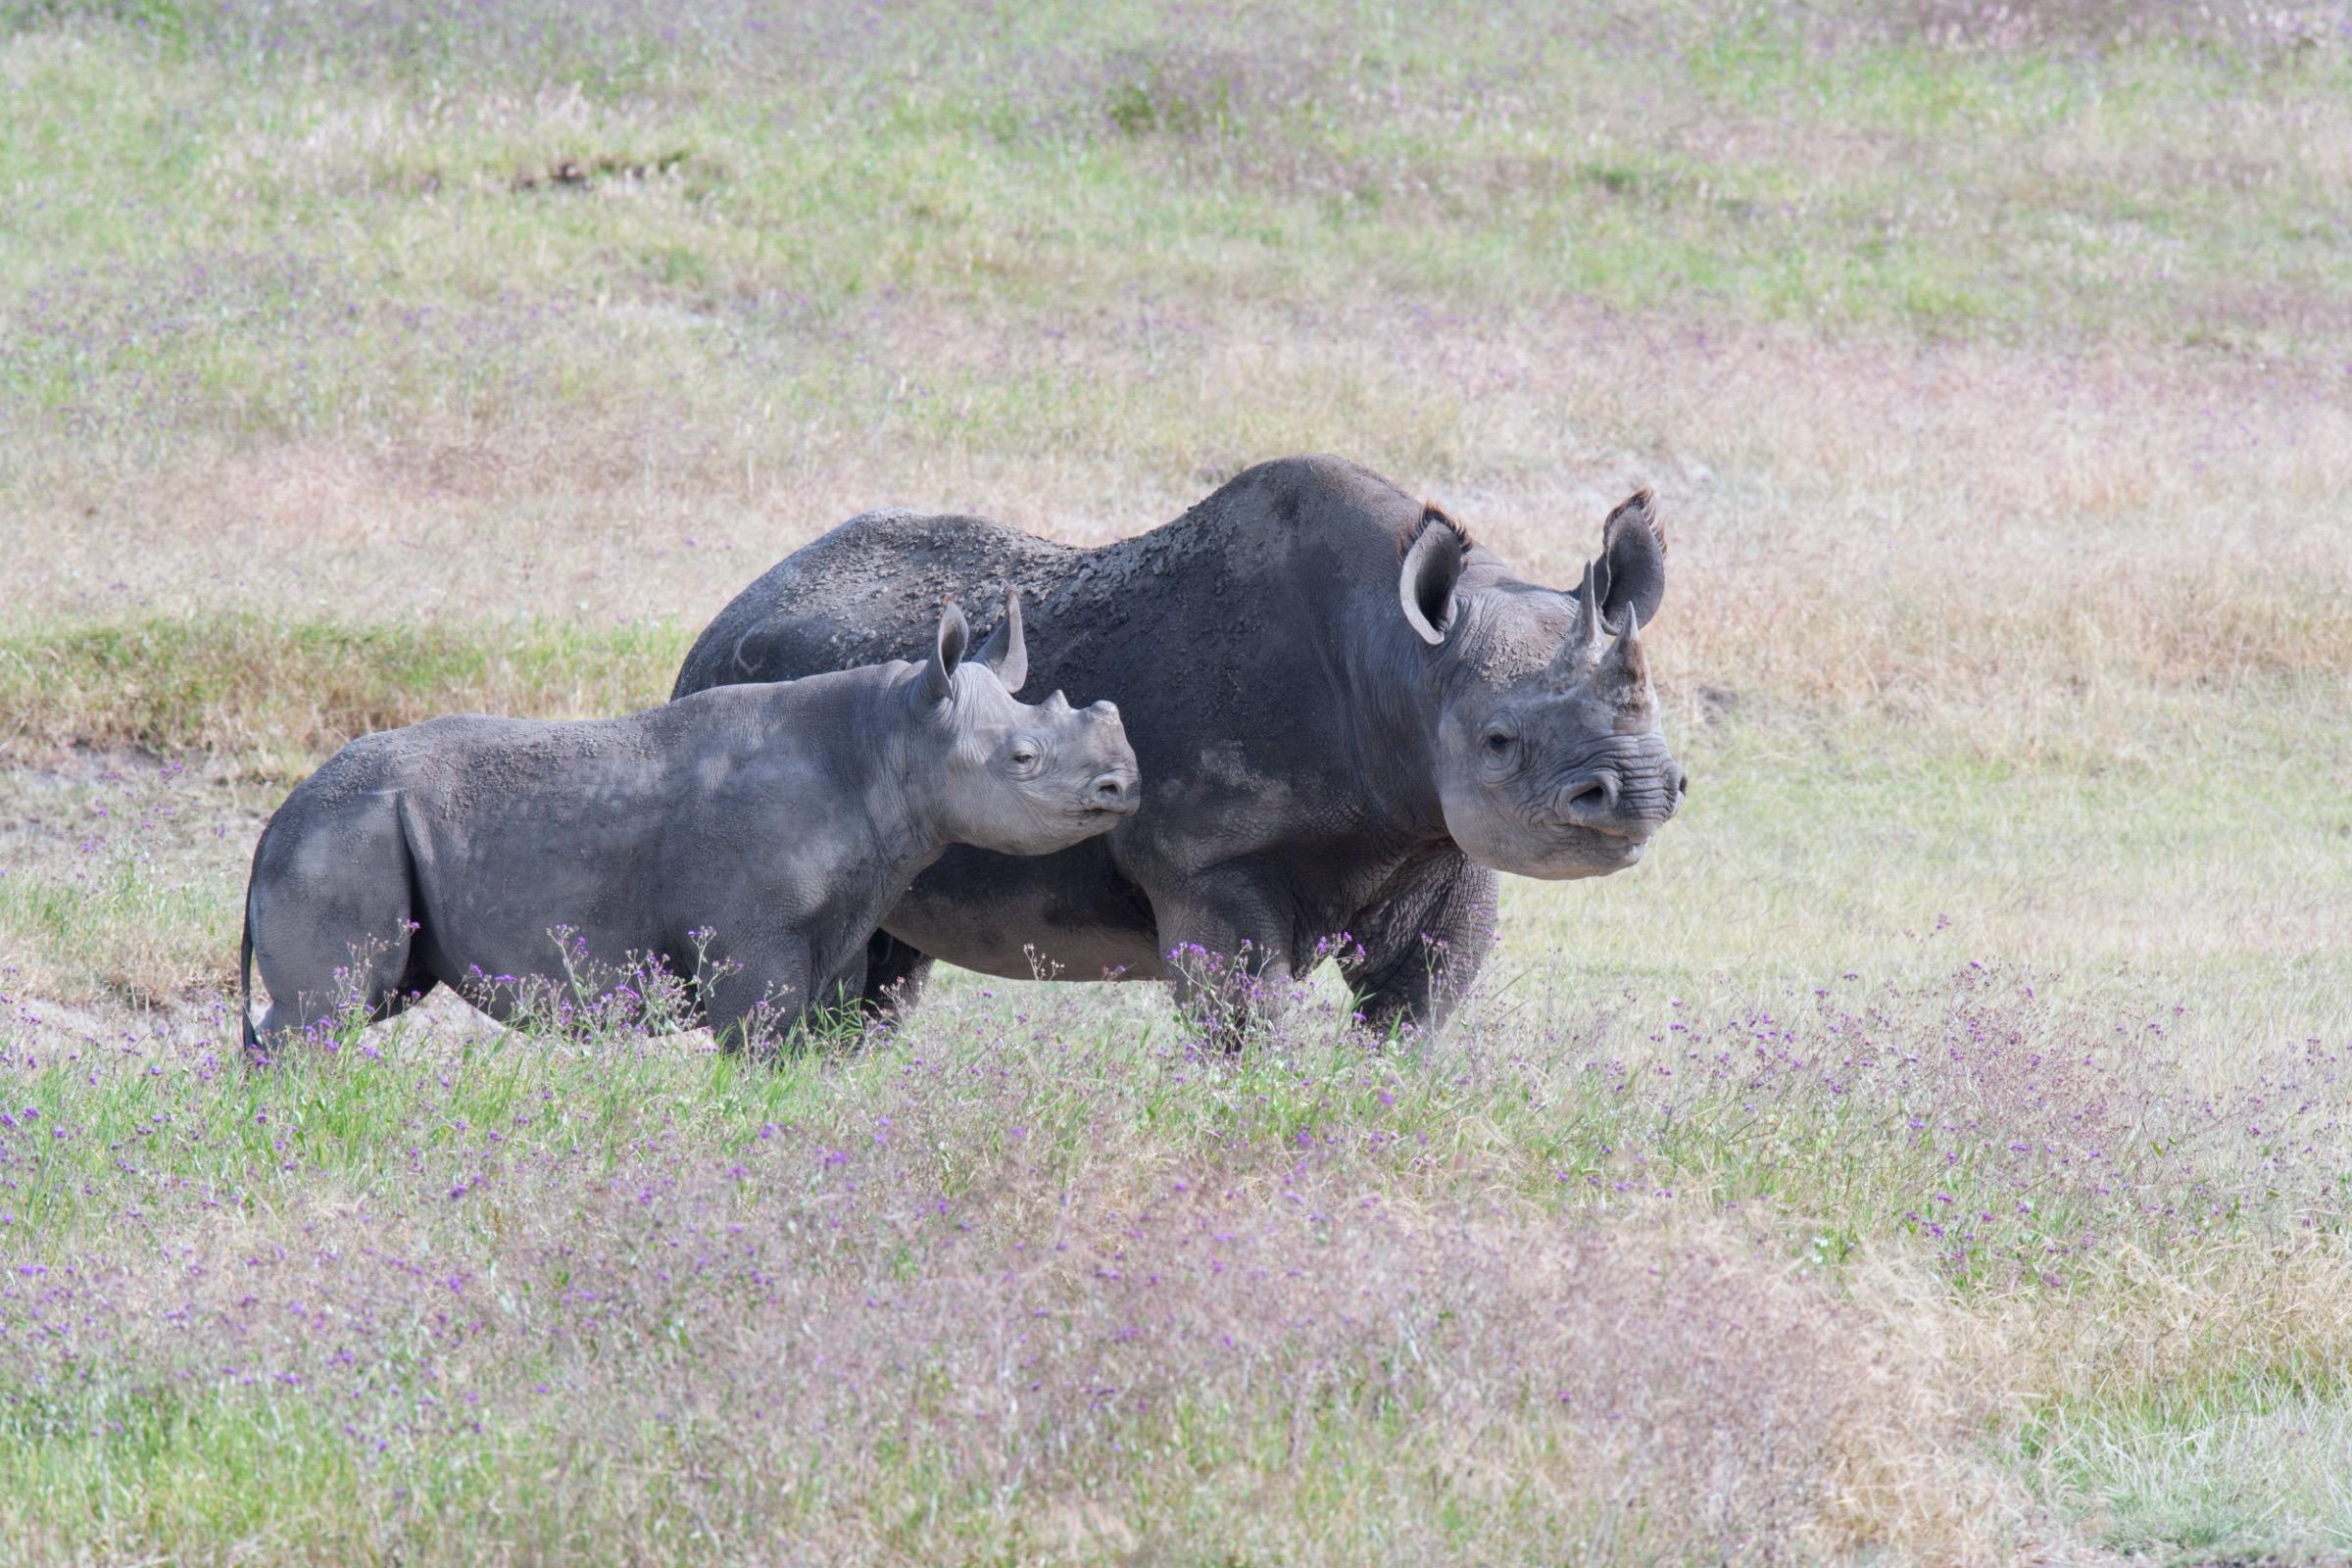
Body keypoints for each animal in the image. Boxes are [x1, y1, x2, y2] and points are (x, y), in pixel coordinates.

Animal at [239, 594, 1138, 1053]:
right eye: (1022, 759)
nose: (1124, 786)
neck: (893, 738)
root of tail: (274, 821)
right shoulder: (753, 942)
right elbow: (759, 1045)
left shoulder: (839, 925)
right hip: (344, 835)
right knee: (330, 1009)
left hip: (354, 833)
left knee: (360, 1001)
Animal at [671, 455, 1684, 1035]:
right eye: (1500, 741)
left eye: (1658, 717)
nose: (1637, 793)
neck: (1404, 666)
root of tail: (733, 609)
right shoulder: (1206, 862)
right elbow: (1245, 1023)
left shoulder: (1436, 835)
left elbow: (1417, 1012)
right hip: (737, 688)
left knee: (882, 978)